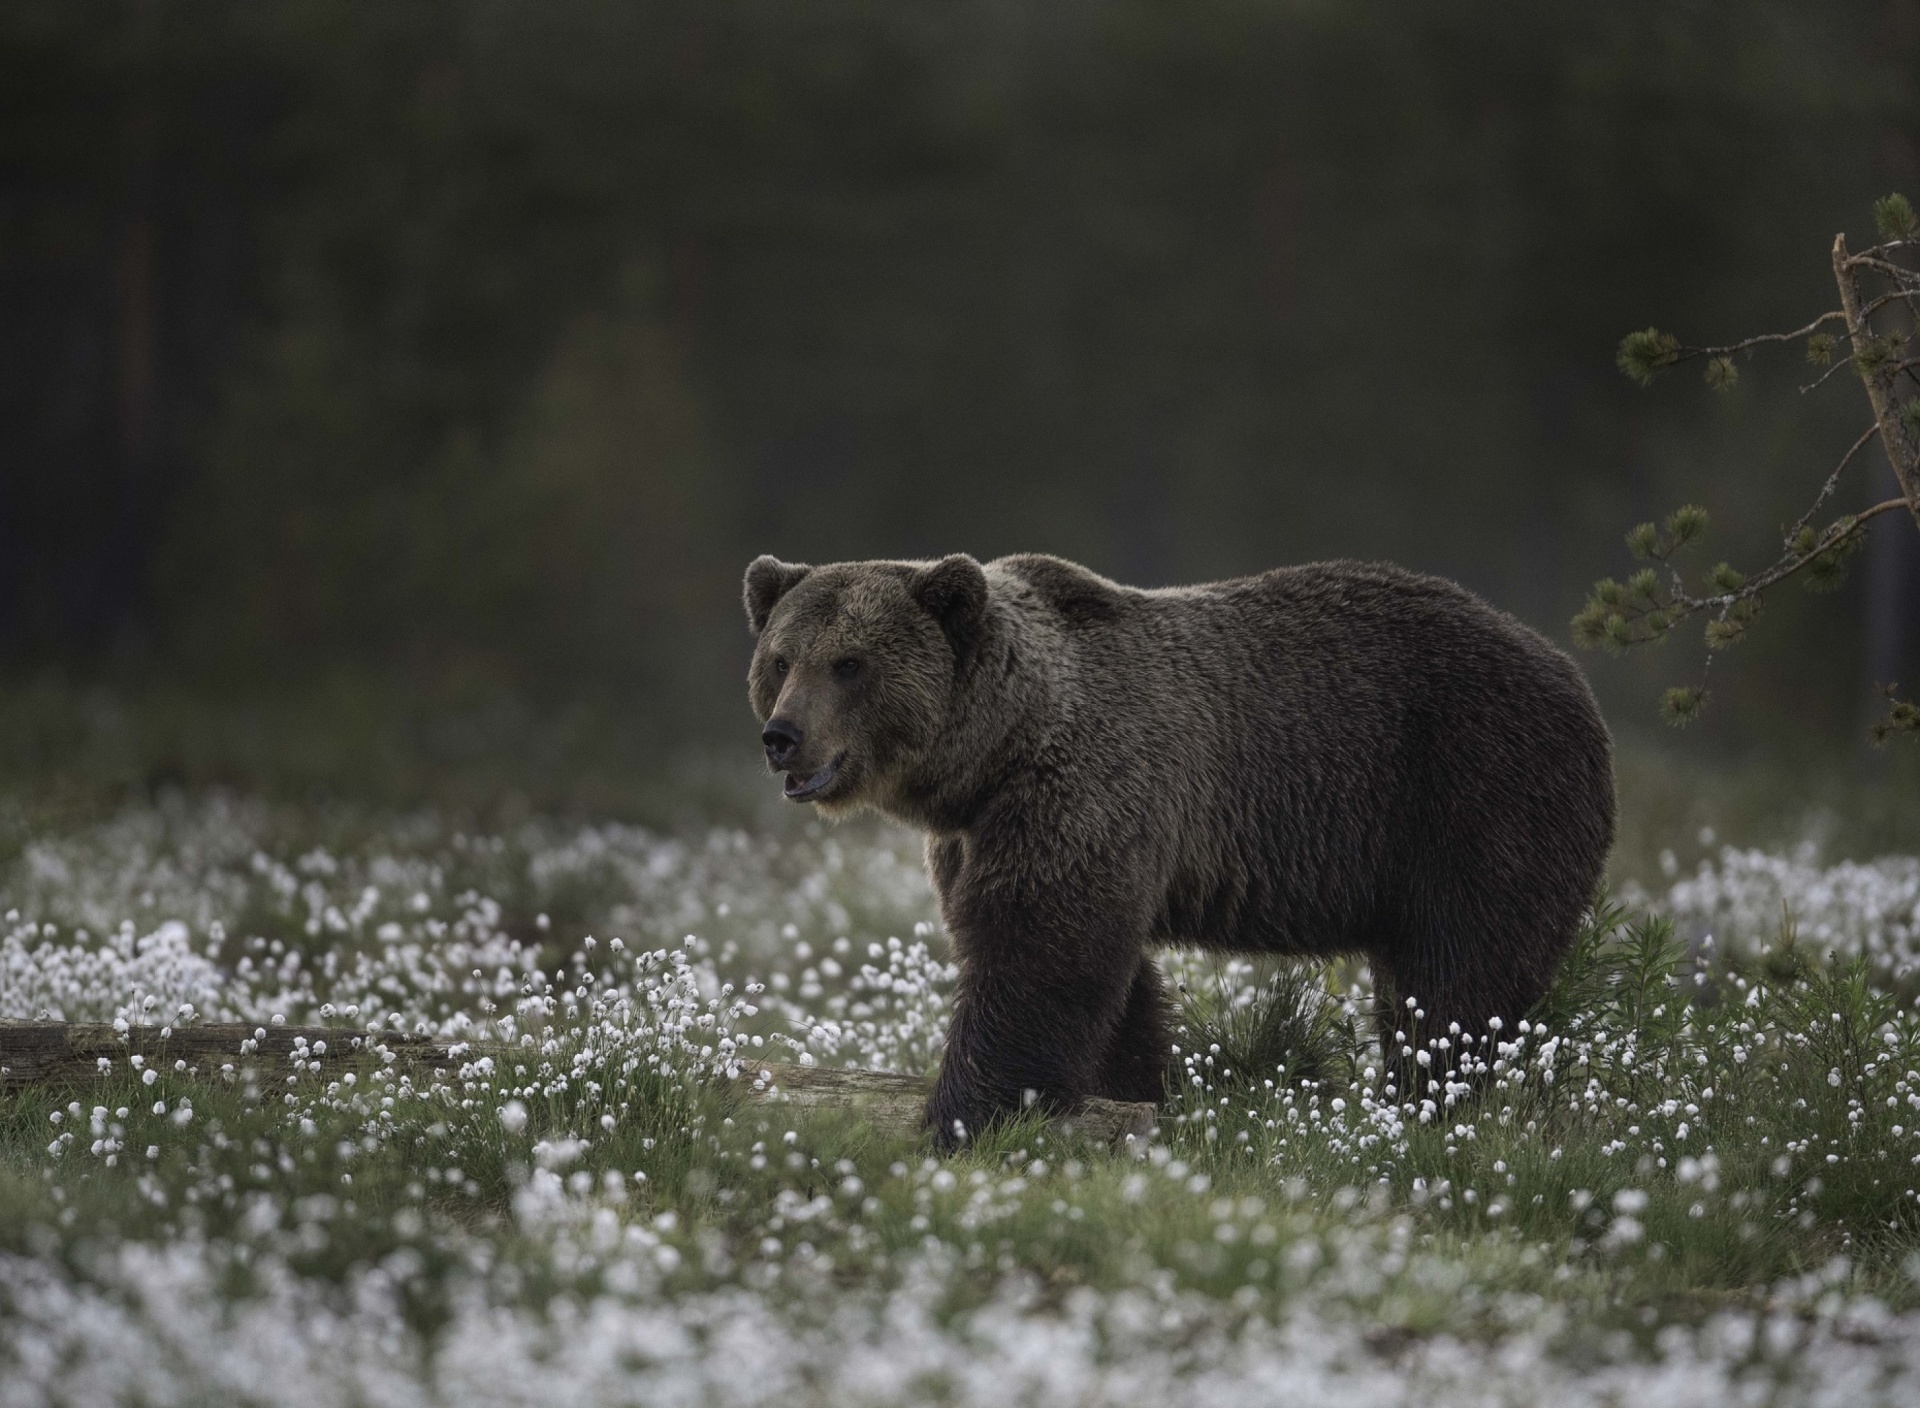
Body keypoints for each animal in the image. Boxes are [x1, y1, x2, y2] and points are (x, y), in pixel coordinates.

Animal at [741, 549, 1612, 1144]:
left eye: (849, 663)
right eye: (781, 660)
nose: (781, 737)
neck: (998, 752)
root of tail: (1572, 674)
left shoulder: (1082, 790)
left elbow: (1037, 956)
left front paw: (963, 1115)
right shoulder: (984, 836)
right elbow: (1102, 978)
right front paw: (1134, 1089)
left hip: (1474, 791)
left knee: (1458, 974)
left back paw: (1422, 1096)